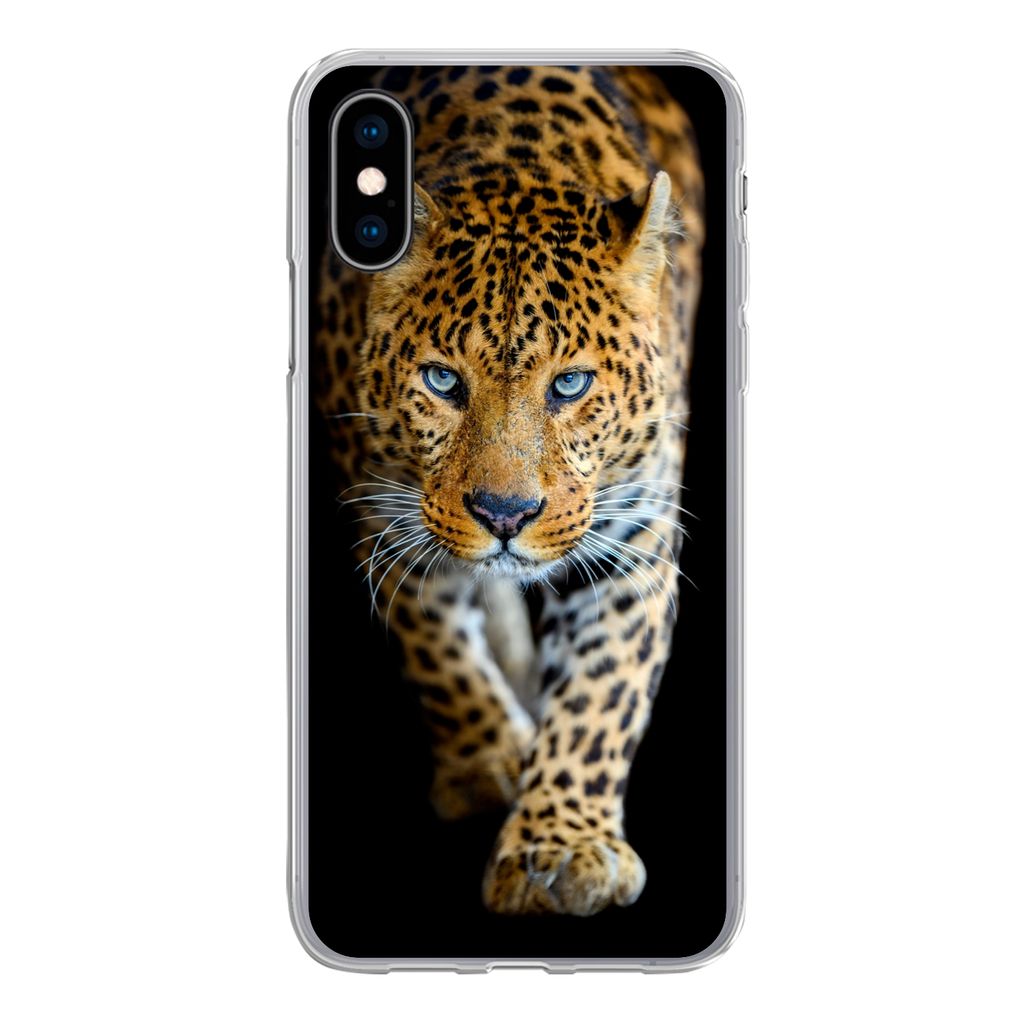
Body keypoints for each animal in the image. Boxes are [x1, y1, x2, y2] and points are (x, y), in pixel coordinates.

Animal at [314, 64, 704, 916]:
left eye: (569, 385)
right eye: (441, 381)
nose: (504, 515)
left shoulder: (634, 545)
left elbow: (601, 697)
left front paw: (562, 845)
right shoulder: (386, 514)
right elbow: (436, 650)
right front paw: (487, 760)